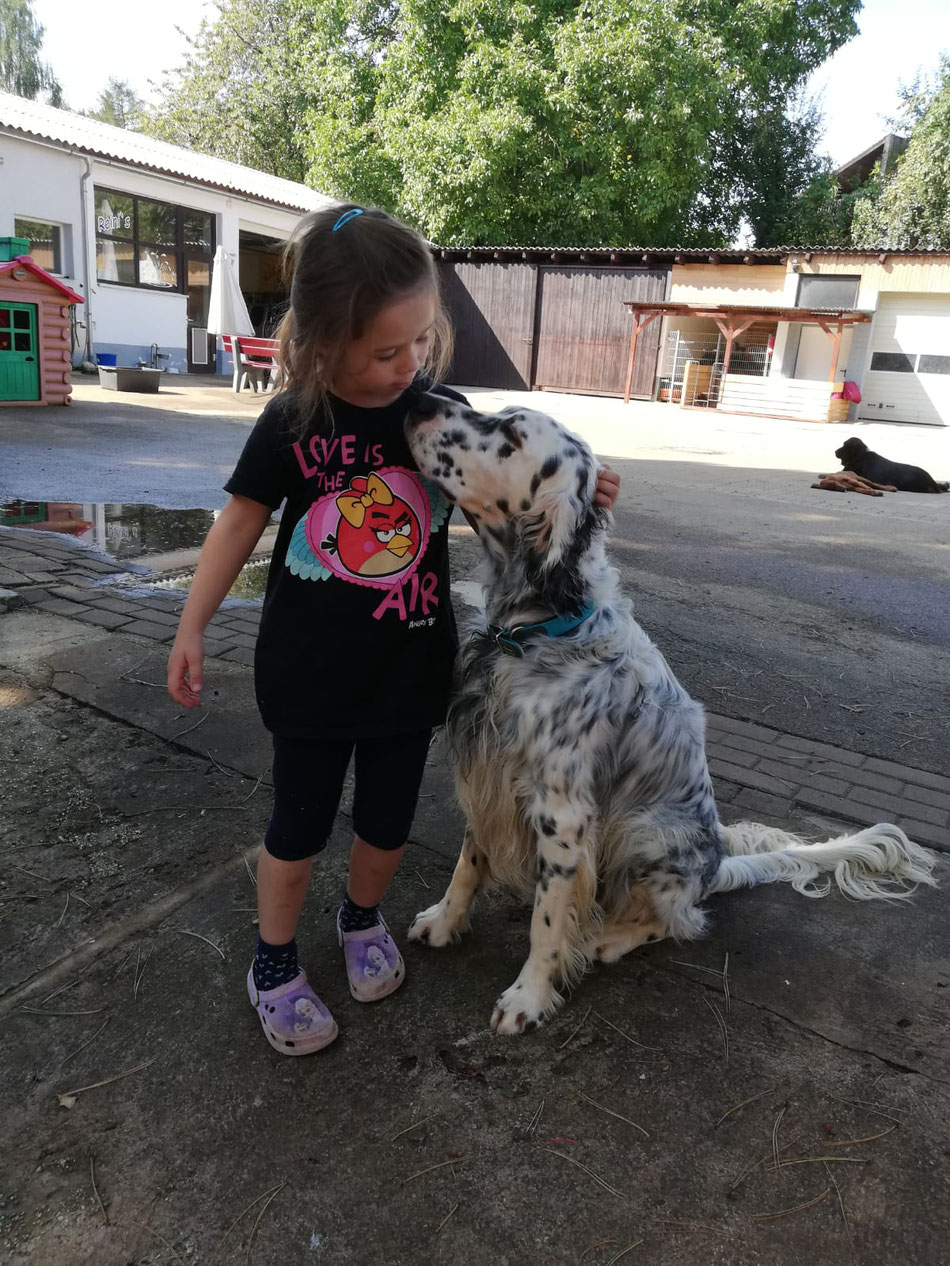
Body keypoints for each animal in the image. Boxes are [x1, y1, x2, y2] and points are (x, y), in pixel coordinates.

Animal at [402, 394, 937, 1038]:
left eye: (510, 435)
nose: (420, 397)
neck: (536, 631)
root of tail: (716, 866)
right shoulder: (489, 773)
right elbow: (468, 862)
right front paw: (442, 921)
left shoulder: (562, 814)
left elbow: (547, 924)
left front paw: (529, 996)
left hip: (646, 832)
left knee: (677, 919)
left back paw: (608, 938)